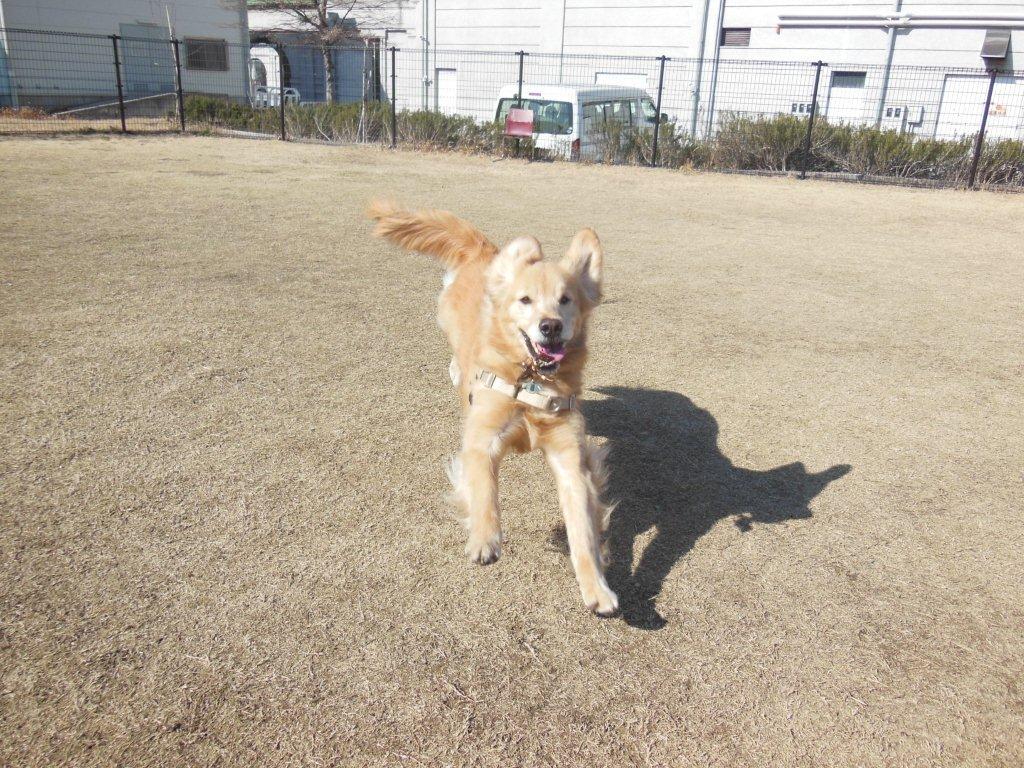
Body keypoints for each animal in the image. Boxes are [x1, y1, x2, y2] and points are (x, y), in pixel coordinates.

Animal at [368, 201, 618, 616]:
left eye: (566, 299)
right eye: (525, 300)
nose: (550, 326)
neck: (531, 381)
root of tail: (484, 251)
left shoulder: (569, 456)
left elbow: (582, 530)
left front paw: (597, 588)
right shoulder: (483, 436)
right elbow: (484, 489)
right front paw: (485, 539)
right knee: (456, 359)